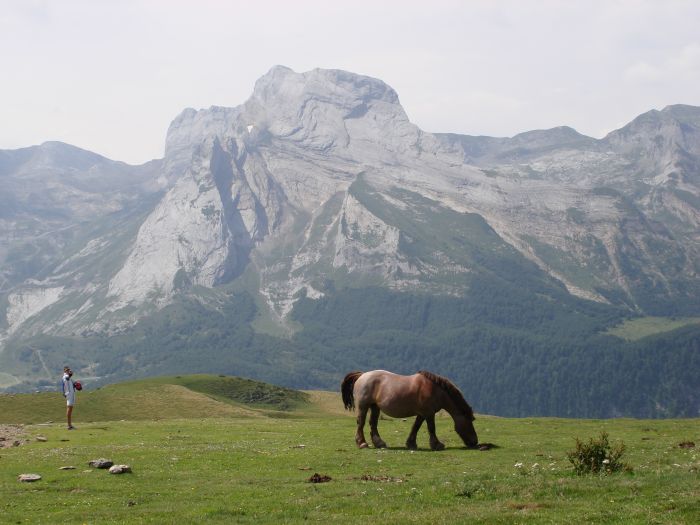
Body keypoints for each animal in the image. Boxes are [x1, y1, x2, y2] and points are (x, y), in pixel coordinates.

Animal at [342, 368, 478, 450]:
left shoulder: (422, 414)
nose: (475, 442)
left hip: (375, 407)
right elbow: (431, 428)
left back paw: (380, 443)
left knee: (373, 424)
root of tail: (362, 375)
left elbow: (415, 427)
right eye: (469, 422)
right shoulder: (429, 413)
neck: (435, 390)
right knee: (361, 423)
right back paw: (362, 443)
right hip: (363, 406)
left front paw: (411, 444)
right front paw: (437, 445)